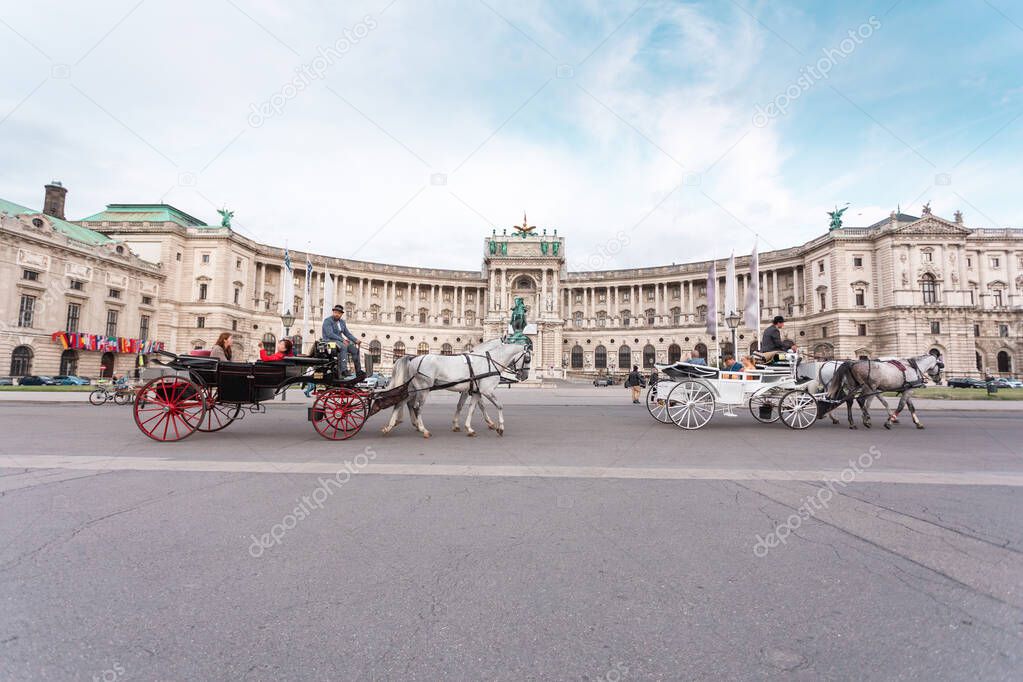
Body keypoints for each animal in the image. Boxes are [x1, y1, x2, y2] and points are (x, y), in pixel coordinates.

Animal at [380, 339, 531, 439]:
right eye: (528, 359)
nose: (525, 376)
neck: (489, 361)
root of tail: (414, 359)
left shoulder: (475, 392)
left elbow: (471, 408)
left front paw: (468, 427)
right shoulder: (486, 391)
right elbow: (499, 406)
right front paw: (500, 427)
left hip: (412, 389)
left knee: (401, 403)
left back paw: (390, 426)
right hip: (423, 390)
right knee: (417, 407)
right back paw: (423, 429)